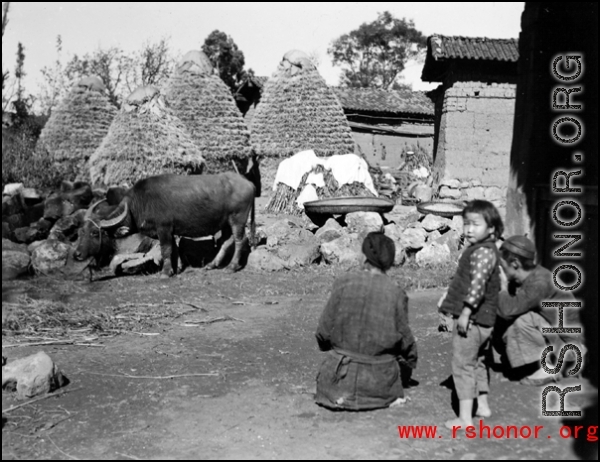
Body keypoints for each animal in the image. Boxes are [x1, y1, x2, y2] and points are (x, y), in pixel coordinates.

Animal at [74, 169, 255, 278]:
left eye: (94, 233)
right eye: (80, 232)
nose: (77, 254)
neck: (139, 204)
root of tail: (249, 183)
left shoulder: (164, 229)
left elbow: (166, 249)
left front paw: (166, 272)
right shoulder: (170, 231)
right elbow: (175, 248)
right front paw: (177, 268)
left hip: (238, 219)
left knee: (240, 240)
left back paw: (232, 266)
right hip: (225, 223)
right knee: (226, 241)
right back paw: (212, 264)